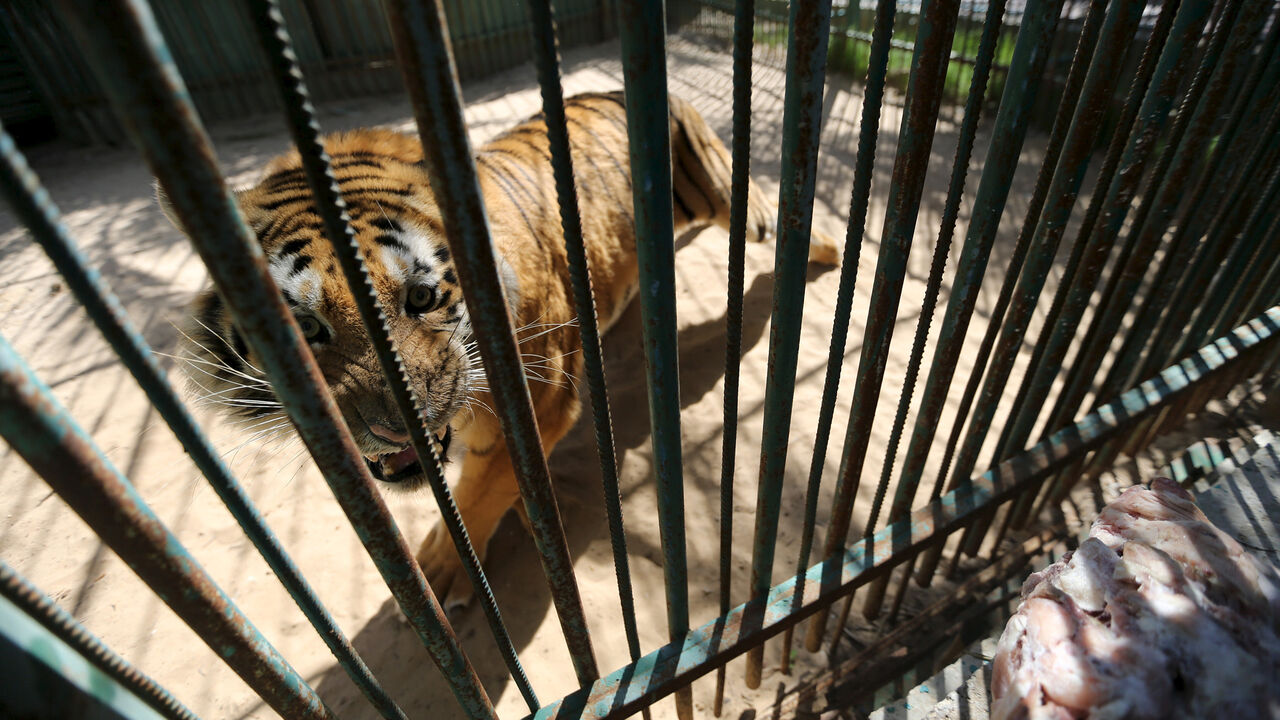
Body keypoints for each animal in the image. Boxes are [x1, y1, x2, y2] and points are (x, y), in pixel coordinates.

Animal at [163, 91, 841, 610]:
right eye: (304, 328)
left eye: (421, 296)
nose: (391, 428)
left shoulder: (537, 406)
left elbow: (482, 494)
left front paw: (444, 573)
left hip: (732, 199)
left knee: (775, 219)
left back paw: (829, 252)